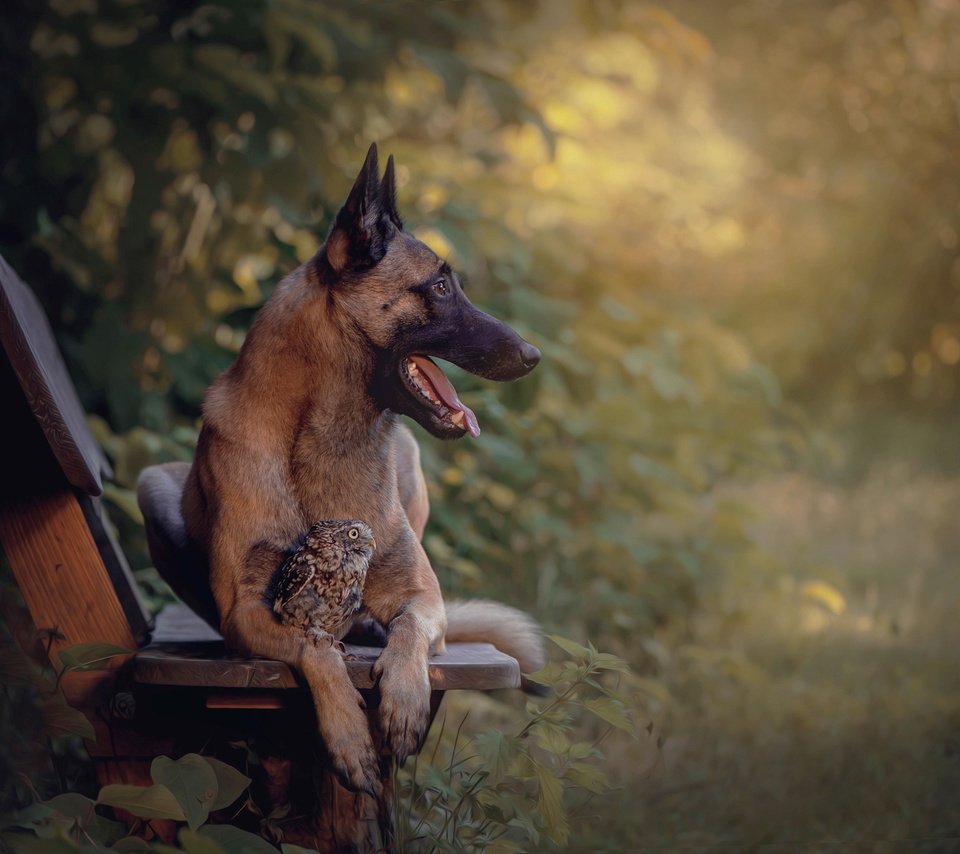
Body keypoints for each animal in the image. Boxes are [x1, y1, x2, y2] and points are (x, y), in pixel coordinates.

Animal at [175, 145, 544, 796]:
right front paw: (348, 734)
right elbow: (314, 647)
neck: (323, 438)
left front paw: (404, 698)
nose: (533, 355)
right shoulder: (245, 613)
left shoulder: (423, 597)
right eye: (441, 286)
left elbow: (409, 630)